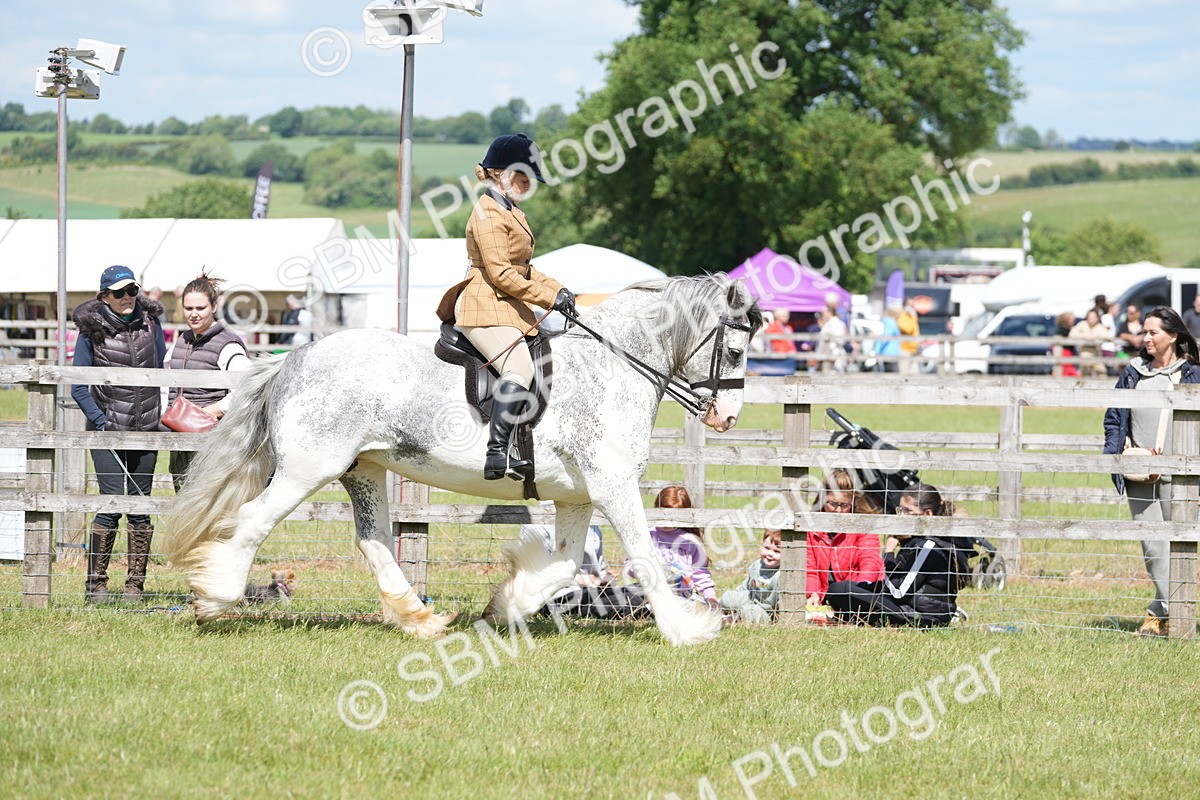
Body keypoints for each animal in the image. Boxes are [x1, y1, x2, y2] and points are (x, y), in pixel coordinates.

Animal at [165, 275, 761, 646]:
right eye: (734, 351)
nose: (729, 416)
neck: (612, 367)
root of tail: (295, 356)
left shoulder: (578, 495)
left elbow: (566, 564)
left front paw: (506, 607)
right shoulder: (612, 486)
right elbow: (645, 557)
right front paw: (688, 630)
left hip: (365, 469)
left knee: (374, 542)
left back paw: (423, 621)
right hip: (308, 470)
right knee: (253, 520)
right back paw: (214, 599)